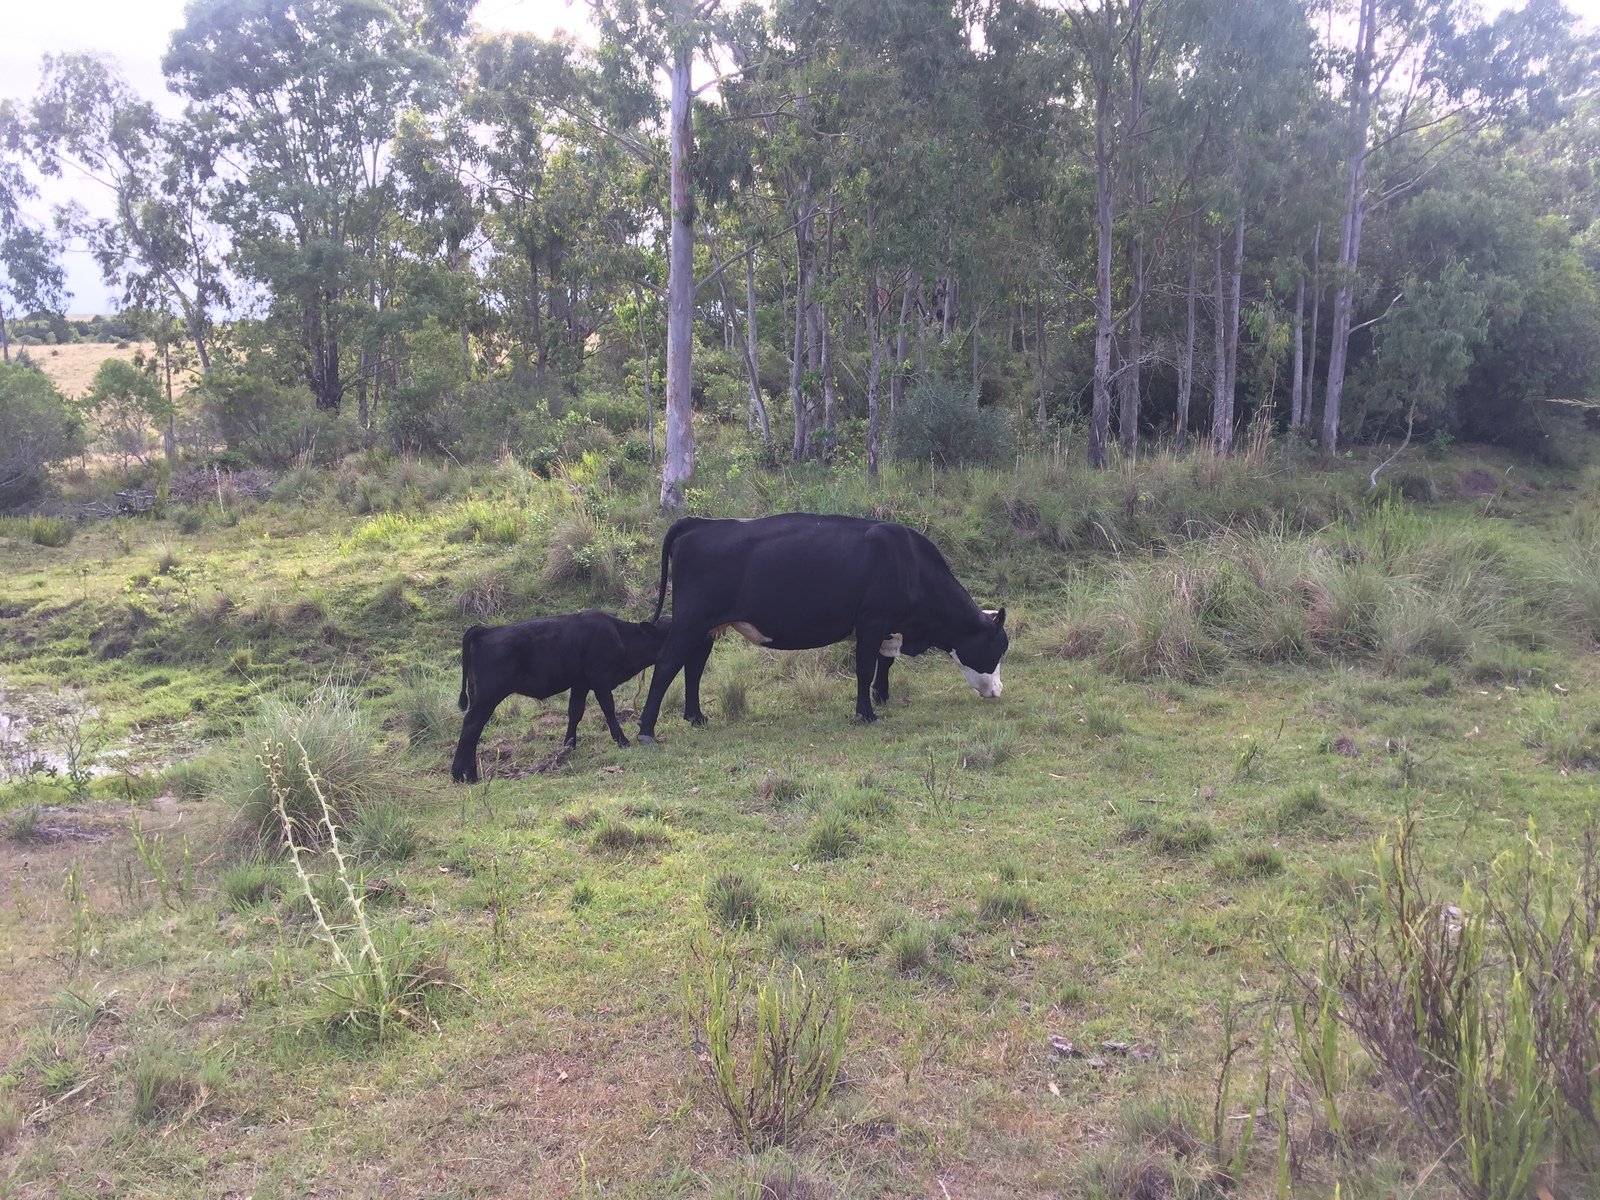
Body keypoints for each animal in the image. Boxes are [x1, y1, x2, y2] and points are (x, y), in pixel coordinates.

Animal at [451, 611, 668, 790]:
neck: (619, 636)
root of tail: (485, 631)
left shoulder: (580, 683)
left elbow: (575, 712)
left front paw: (569, 745)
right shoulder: (600, 679)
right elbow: (608, 709)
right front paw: (622, 740)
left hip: (478, 695)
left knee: (474, 730)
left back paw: (470, 774)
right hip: (489, 695)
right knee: (471, 725)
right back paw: (458, 774)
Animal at [633, 508, 998, 742]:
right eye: (998, 649)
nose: (997, 691)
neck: (908, 561)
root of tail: (697, 522)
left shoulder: (887, 626)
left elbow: (884, 662)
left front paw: (881, 695)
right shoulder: (872, 621)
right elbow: (864, 668)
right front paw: (867, 713)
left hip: (706, 627)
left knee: (693, 667)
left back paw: (696, 717)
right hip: (690, 622)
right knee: (668, 664)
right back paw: (646, 730)